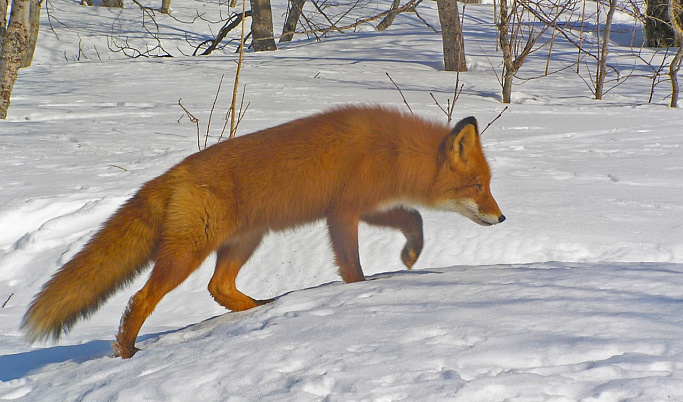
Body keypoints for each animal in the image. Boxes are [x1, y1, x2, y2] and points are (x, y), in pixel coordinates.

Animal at [21, 106, 504, 358]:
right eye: (478, 187)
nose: (501, 219)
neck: (393, 150)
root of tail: (169, 176)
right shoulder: (343, 212)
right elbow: (354, 269)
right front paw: (360, 295)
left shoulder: (368, 207)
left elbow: (414, 219)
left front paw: (410, 256)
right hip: (187, 254)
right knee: (140, 300)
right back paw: (126, 352)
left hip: (244, 242)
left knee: (218, 288)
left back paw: (262, 309)